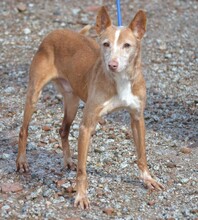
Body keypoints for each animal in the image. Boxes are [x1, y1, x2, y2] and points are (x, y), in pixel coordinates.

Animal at [16, 6, 163, 210]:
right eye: (105, 44)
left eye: (127, 45)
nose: (112, 65)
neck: (120, 80)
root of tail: (55, 32)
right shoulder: (86, 126)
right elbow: (82, 170)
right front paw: (81, 196)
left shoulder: (137, 118)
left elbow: (142, 154)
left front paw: (148, 179)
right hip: (34, 95)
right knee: (24, 130)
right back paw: (22, 162)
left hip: (72, 102)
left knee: (63, 130)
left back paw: (68, 161)